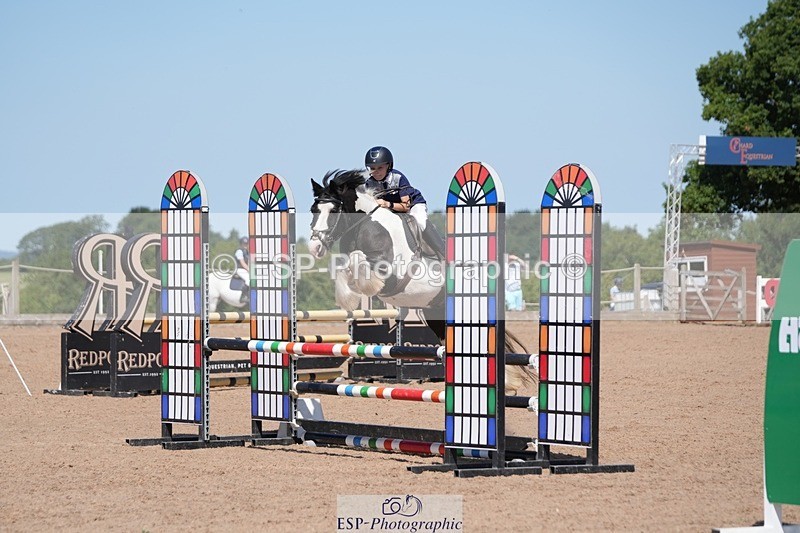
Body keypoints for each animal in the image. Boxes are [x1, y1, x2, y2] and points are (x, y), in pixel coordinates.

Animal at [308, 169, 537, 395]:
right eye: (314, 210)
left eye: (334, 211)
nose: (314, 248)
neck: (364, 224)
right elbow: (344, 266)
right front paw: (347, 298)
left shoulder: (392, 273)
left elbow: (358, 259)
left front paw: (361, 289)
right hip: (436, 312)